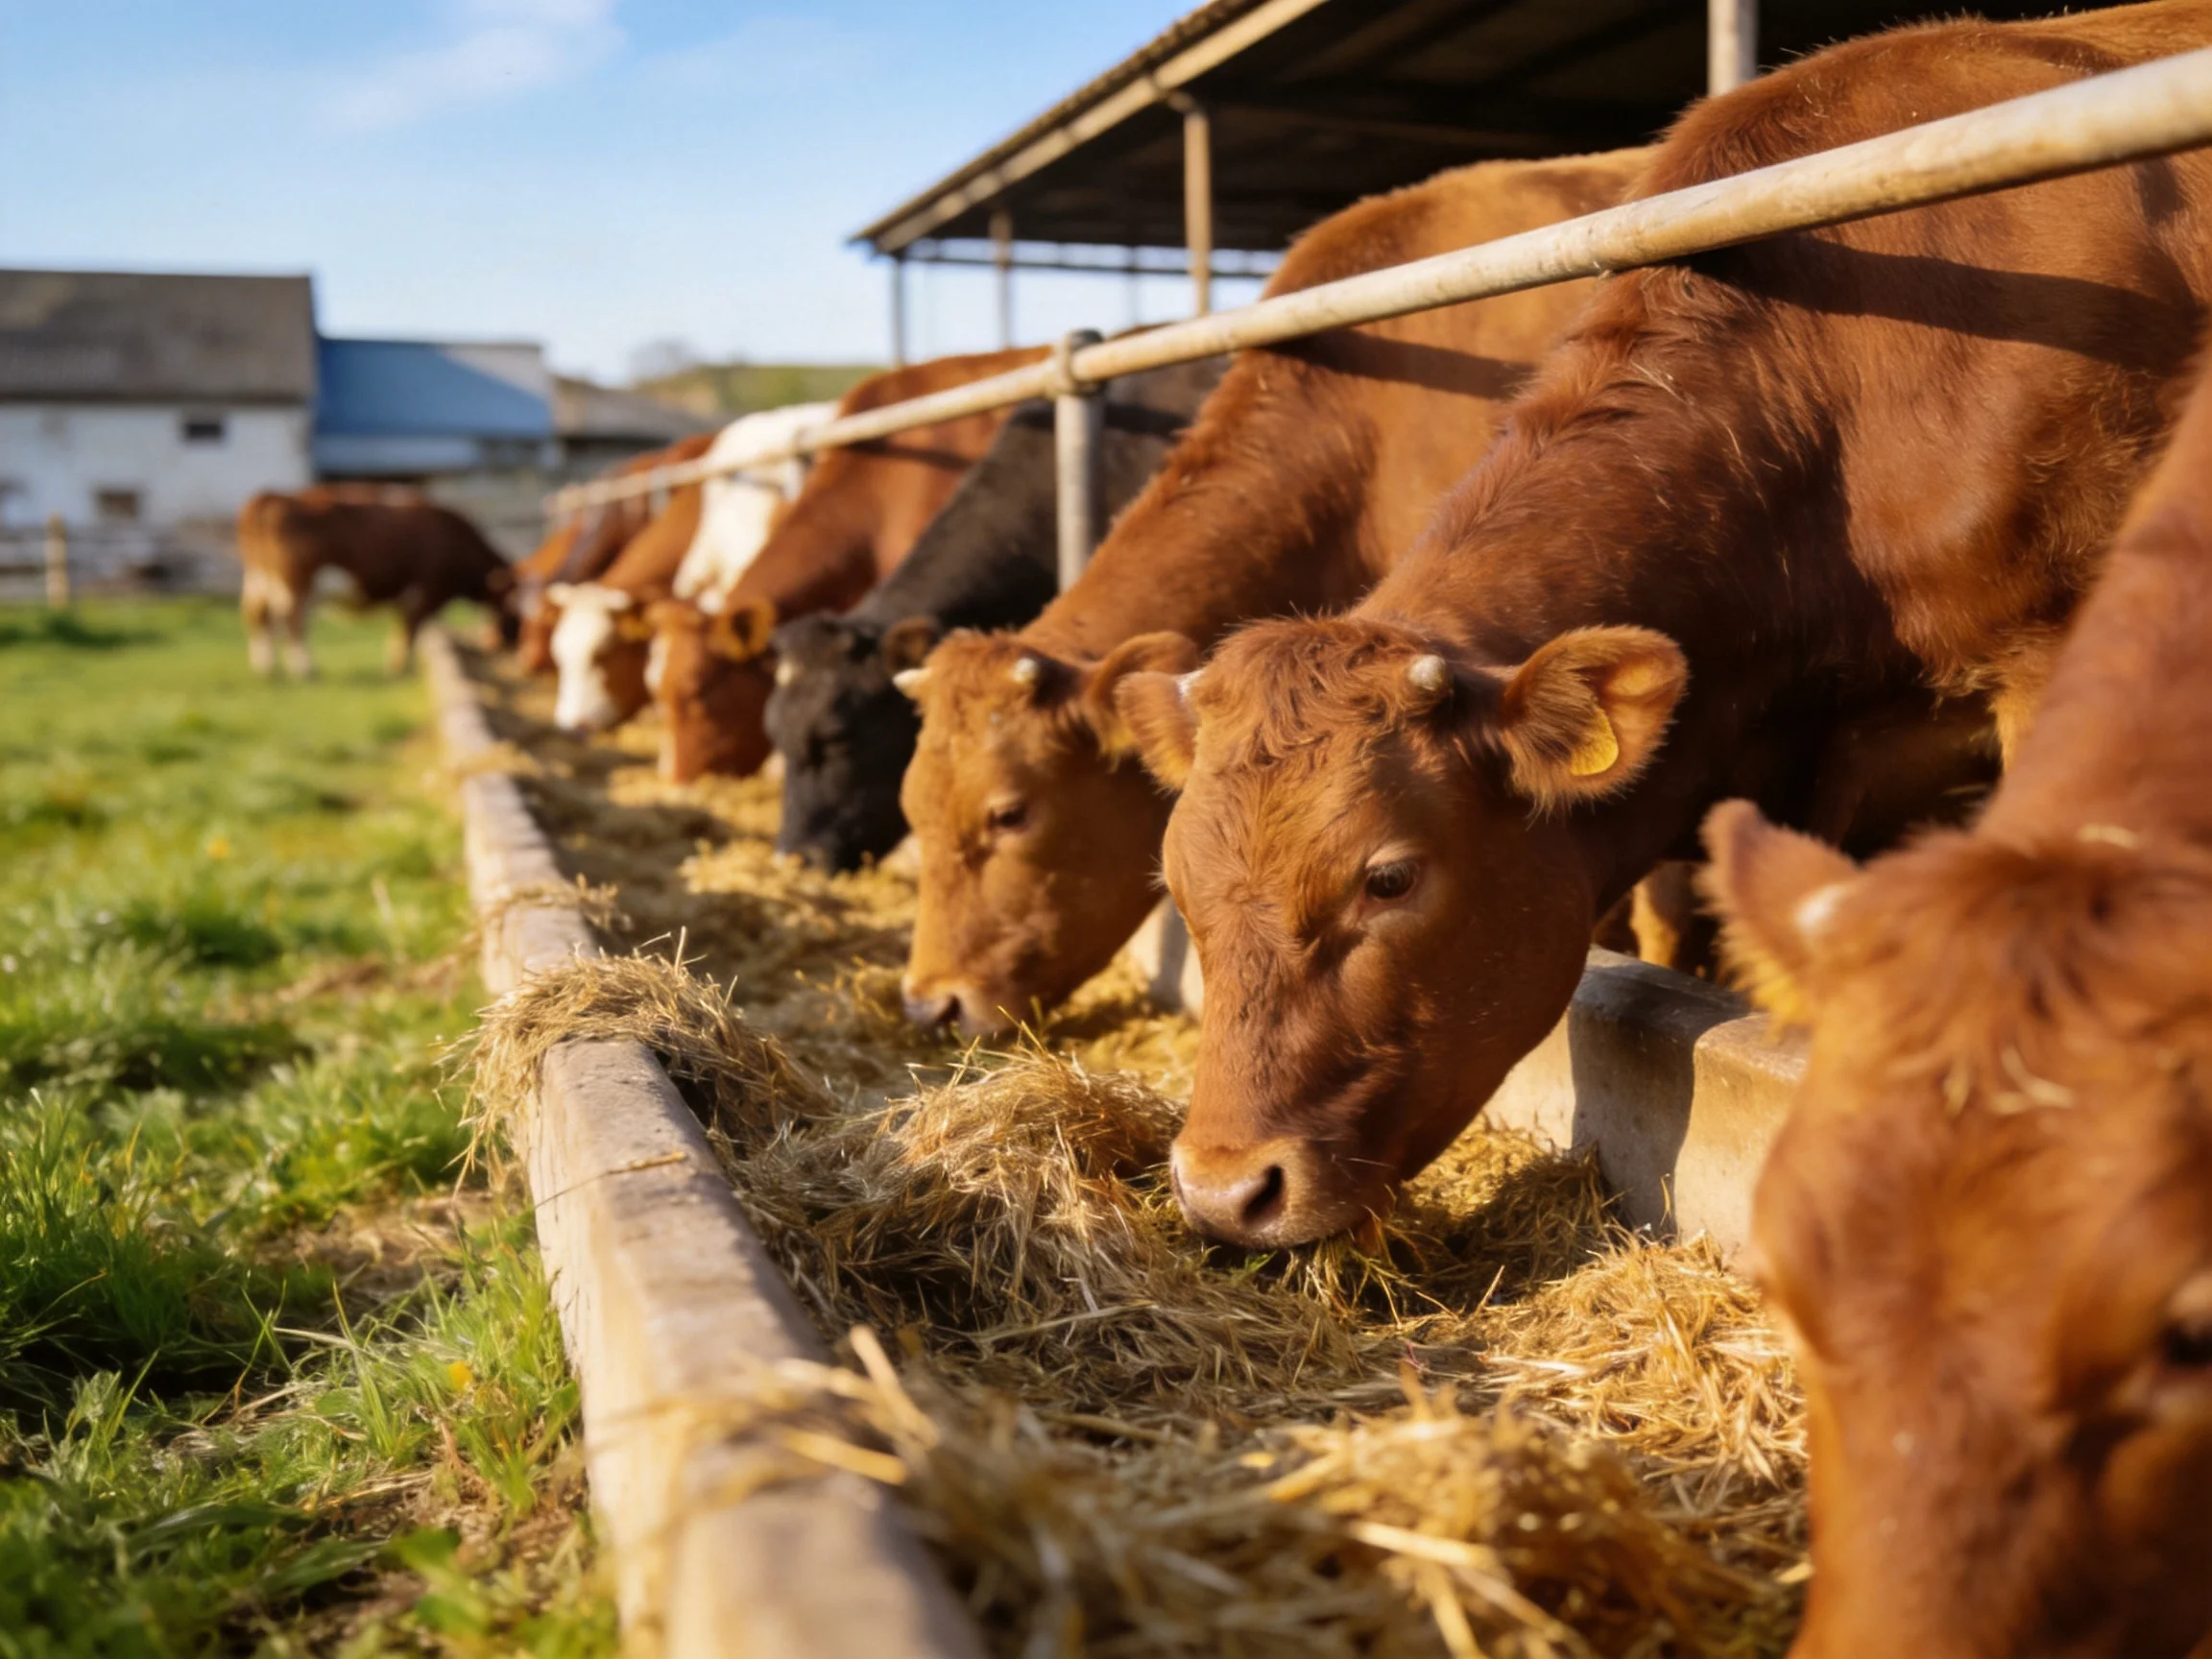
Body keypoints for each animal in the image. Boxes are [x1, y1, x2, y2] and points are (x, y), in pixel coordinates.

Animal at [238, 489, 513, 678]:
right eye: (514, 607)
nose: (505, 645)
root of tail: (272, 497)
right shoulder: (426, 593)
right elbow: (409, 632)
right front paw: (401, 670)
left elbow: (403, 631)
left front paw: (399, 666)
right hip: (297, 583)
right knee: (293, 620)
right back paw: (305, 670)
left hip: (260, 580)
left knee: (258, 616)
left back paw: (265, 668)